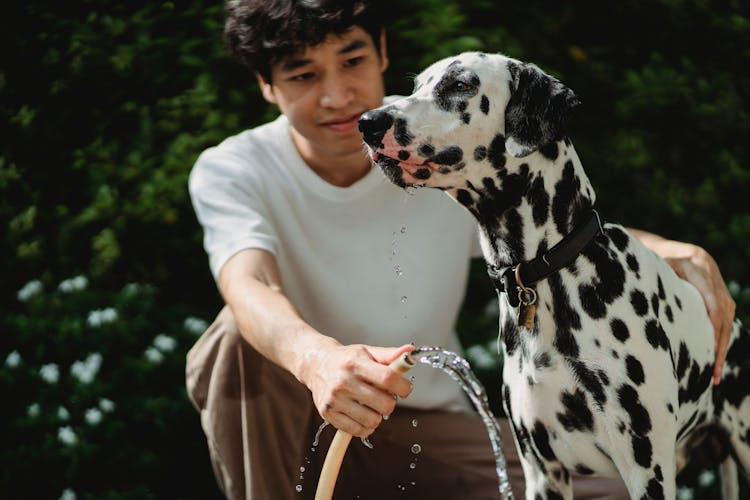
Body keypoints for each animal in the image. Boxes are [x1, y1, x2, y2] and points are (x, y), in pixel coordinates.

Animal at [360, 51, 750, 500]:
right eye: (418, 85)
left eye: (460, 84)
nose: (368, 122)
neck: (549, 274)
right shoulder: (542, 472)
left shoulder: (646, 469)